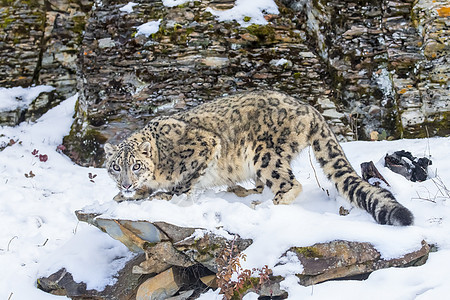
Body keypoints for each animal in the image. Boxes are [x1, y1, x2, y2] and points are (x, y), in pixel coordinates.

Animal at [105, 90, 414, 226]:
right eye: (116, 167)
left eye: (136, 165)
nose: (126, 184)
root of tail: (309, 109)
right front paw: (124, 196)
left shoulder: (204, 146)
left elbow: (185, 182)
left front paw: (169, 198)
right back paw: (246, 192)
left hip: (264, 154)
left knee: (289, 183)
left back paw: (264, 206)